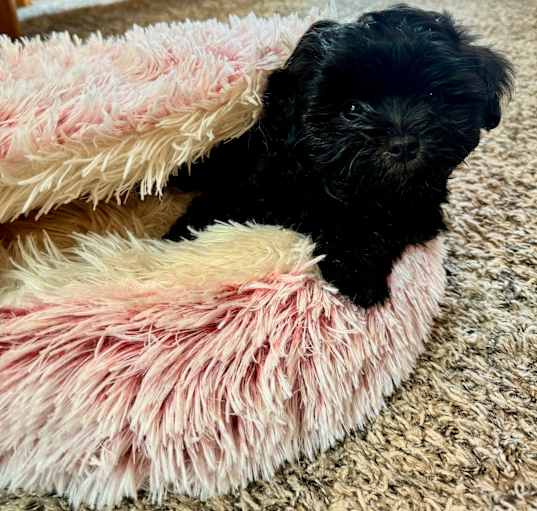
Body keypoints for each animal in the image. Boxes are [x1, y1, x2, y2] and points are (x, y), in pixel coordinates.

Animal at [165, 5, 512, 308]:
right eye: (351, 109)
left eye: (430, 95)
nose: (402, 144)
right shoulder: (254, 183)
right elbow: (218, 207)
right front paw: (176, 241)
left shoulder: (419, 210)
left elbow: (381, 228)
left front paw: (357, 272)